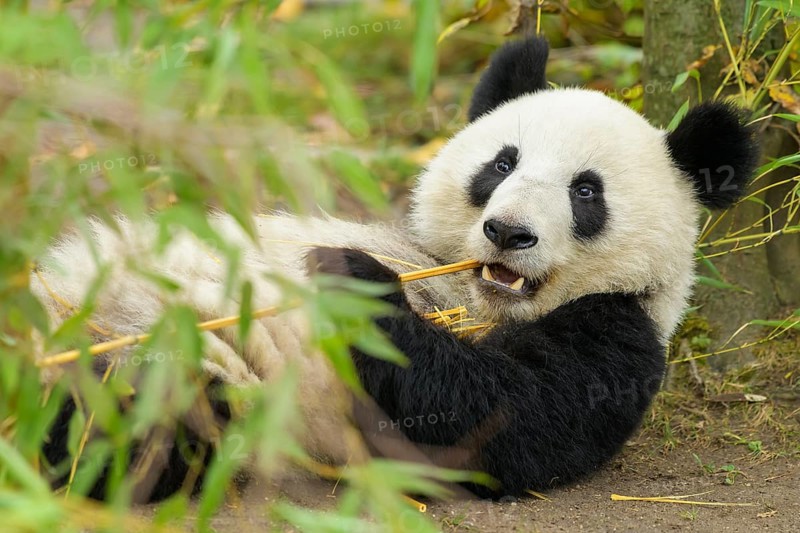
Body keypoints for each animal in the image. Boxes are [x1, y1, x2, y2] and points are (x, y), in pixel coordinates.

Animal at [38, 36, 759, 501]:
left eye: (586, 192)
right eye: (502, 163)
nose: (507, 231)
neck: (465, 289)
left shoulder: (618, 331)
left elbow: (504, 415)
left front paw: (352, 280)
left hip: (199, 391)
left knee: (118, 432)